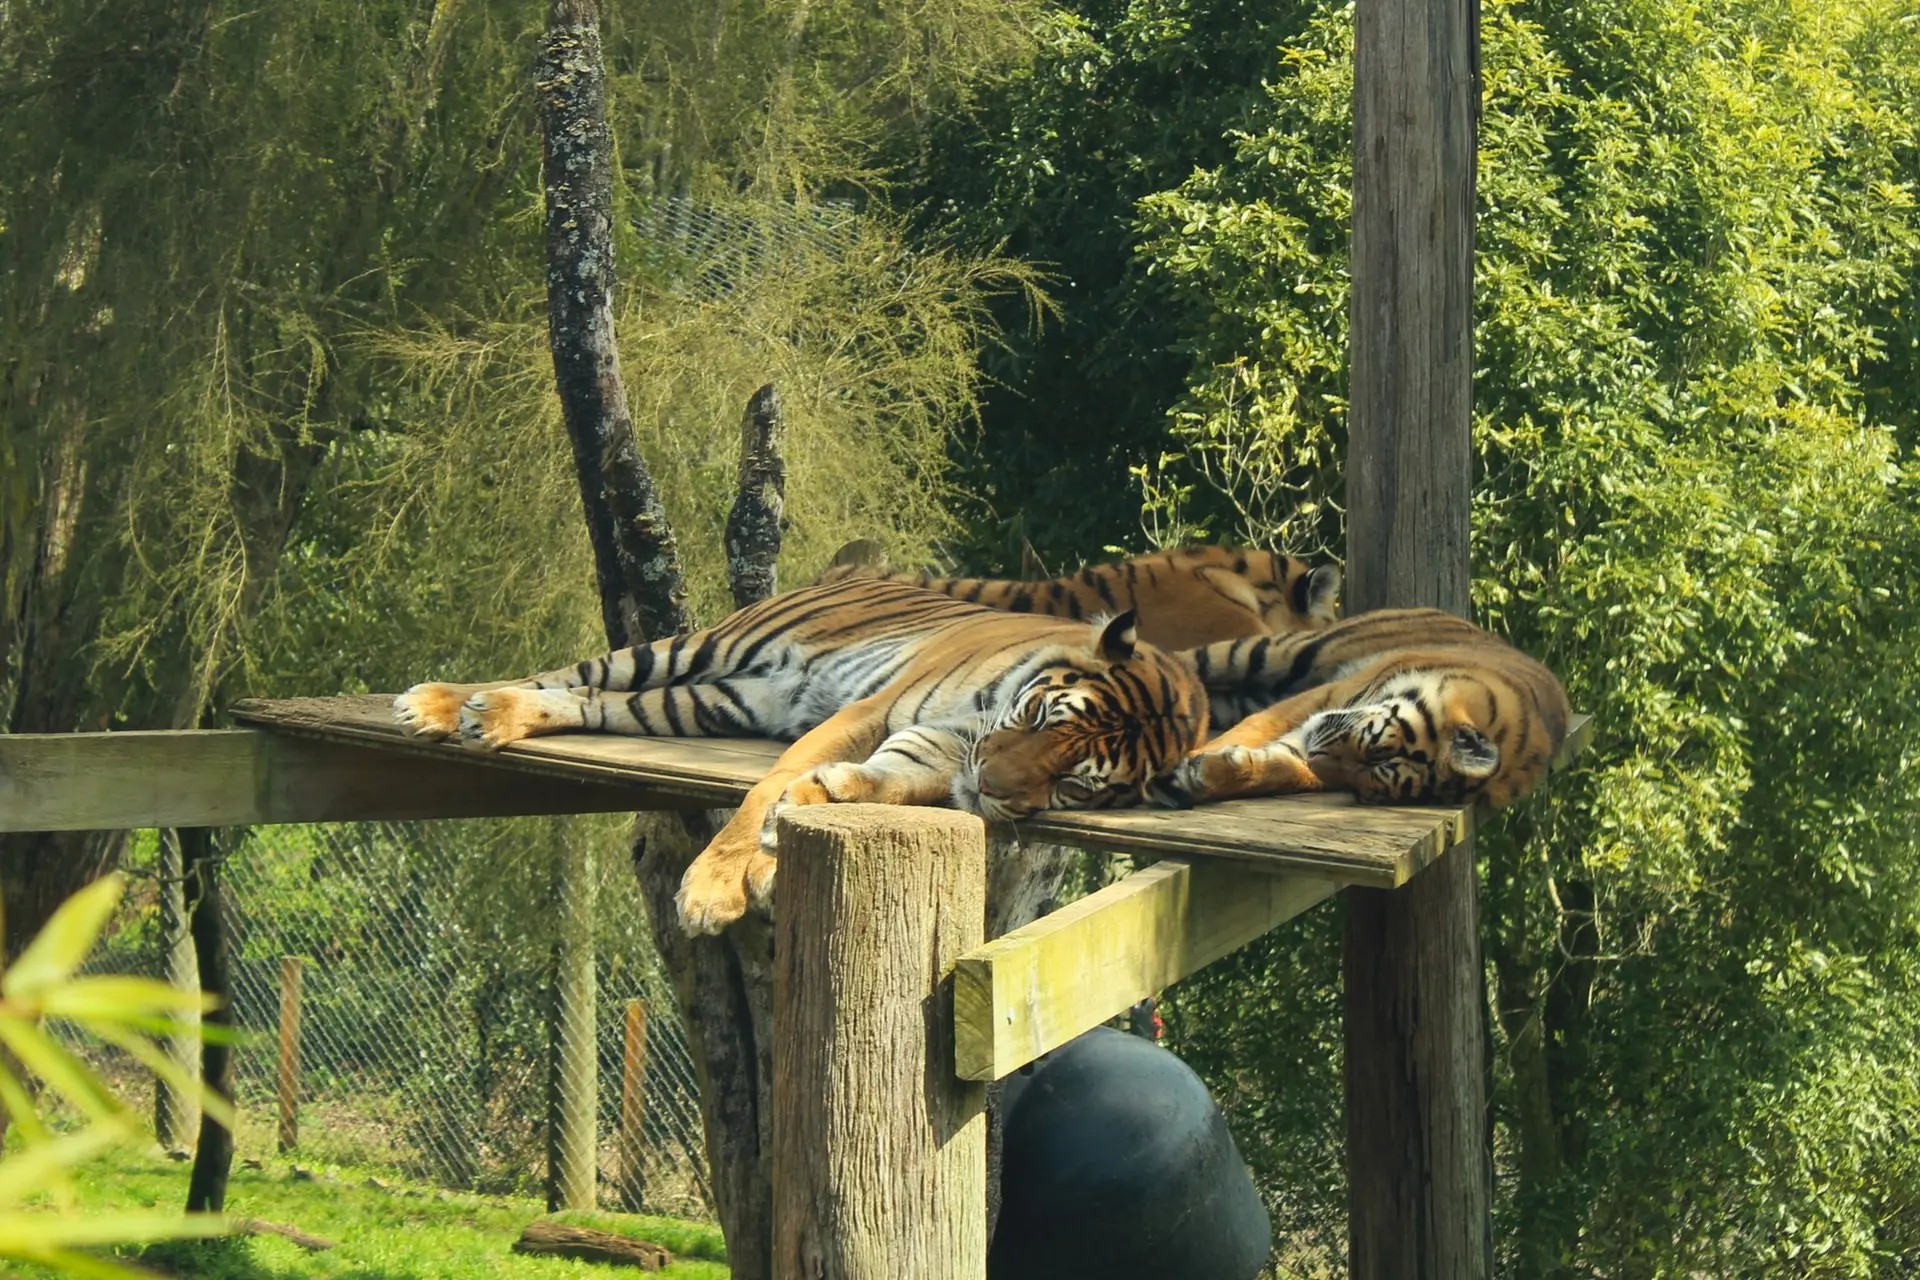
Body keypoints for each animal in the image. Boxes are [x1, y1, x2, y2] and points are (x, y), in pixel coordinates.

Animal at [391, 576, 1210, 935]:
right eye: (1044, 717)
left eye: (1075, 782)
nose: (996, 790)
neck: (983, 721)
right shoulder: (878, 713)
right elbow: (764, 789)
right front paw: (714, 890)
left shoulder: (937, 746)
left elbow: (881, 785)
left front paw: (820, 800)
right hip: (693, 649)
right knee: (567, 671)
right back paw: (446, 705)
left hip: (705, 702)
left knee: (586, 701)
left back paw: (487, 715)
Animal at [1152, 607, 1570, 810]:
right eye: (1376, 746)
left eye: (1363, 788)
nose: (1316, 756)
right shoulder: (1326, 696)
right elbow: (1256, 728)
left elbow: (1285, 769)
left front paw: (1204, 775)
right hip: (1276, 652)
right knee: (1184, 661)